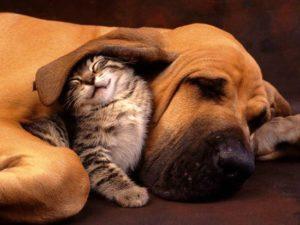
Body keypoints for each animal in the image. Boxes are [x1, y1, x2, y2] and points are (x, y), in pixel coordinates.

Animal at [63, 55, 152, 207]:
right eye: (75, 80)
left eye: (97, 65)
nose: (90, 80)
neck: (114, 103)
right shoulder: (88, 150)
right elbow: (107, 172)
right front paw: (130, 191)